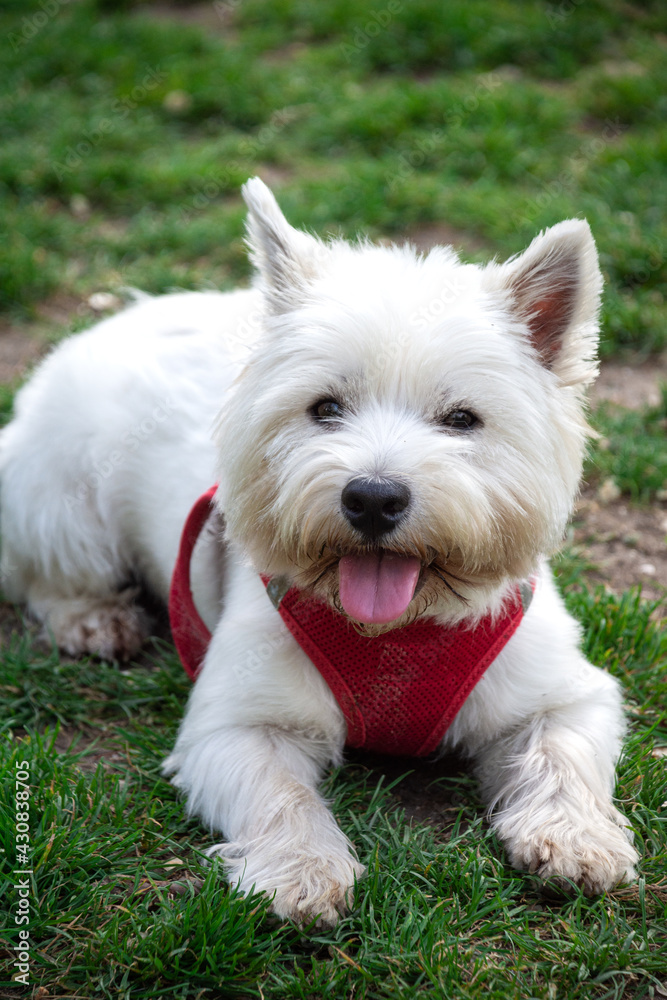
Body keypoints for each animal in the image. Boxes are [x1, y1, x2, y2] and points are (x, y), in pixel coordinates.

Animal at [0, 178, 636, 920]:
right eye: (325, 408)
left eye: (461, 419)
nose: (372, 498)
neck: (397, 631)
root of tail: (121, 313)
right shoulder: (238, 722)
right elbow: (279, 794)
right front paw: (302, 871)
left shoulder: (560, 694)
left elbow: (562, 756)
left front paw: (579, 839)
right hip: (65, 503)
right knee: (46, 573)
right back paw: (95, 620)